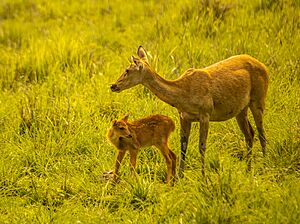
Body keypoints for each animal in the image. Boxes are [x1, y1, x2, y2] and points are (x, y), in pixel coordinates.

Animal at [110, 46, 270, 178]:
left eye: (127, 70)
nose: (113, 86)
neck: (184, 94)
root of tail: (264, 67)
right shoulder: (184, 116)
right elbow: (183, 146)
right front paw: (180, 177)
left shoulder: (205, 114)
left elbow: (202, 146)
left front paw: (203, 177)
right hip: (240, 109)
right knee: (250, 134)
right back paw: (248, 170)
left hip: (258, 100)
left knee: (261, 134)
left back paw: (264, 166)